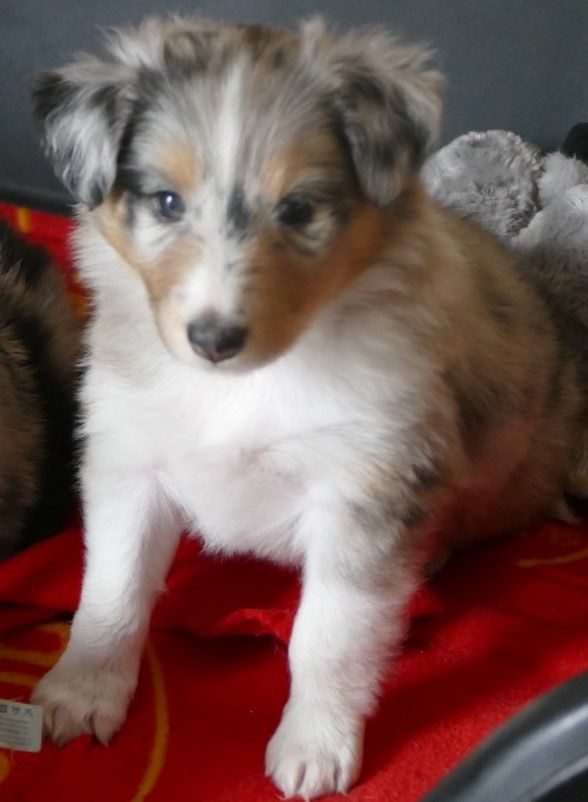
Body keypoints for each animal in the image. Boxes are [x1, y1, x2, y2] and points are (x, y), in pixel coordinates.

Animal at [30, 17, 587, 799]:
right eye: (166, 202)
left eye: (297, 210)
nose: (213, 340)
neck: (246, 383)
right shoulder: (126, 459)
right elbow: (111, 587)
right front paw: (84, 691)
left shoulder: (365, 492)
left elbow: (325, 635)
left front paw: (315, 747)